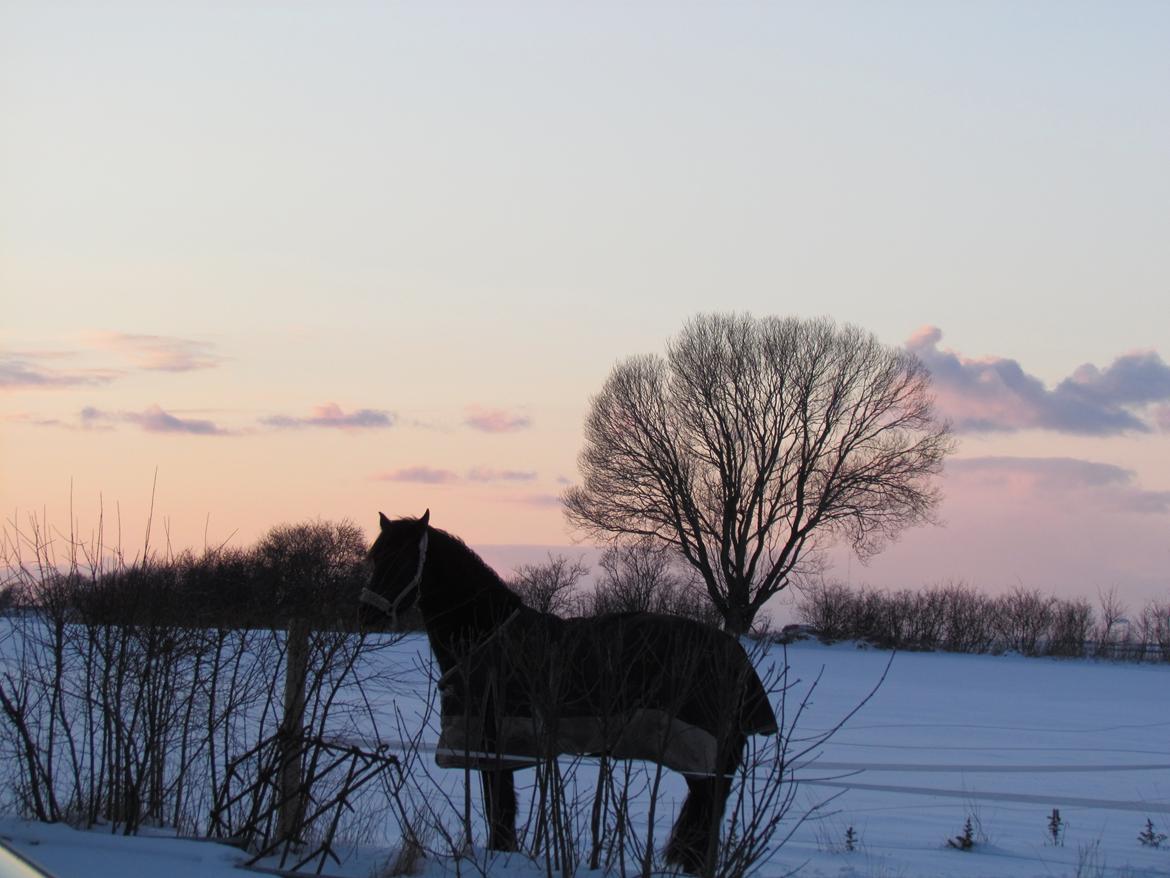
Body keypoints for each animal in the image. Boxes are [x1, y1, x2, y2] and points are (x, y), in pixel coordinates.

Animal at [355, 508, 776, 875]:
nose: (366, 614)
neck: (488, 634)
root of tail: (734, 654)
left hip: (699, 754)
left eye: (404, 560)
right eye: (376, 558)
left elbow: (500, 816)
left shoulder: (496, 748)